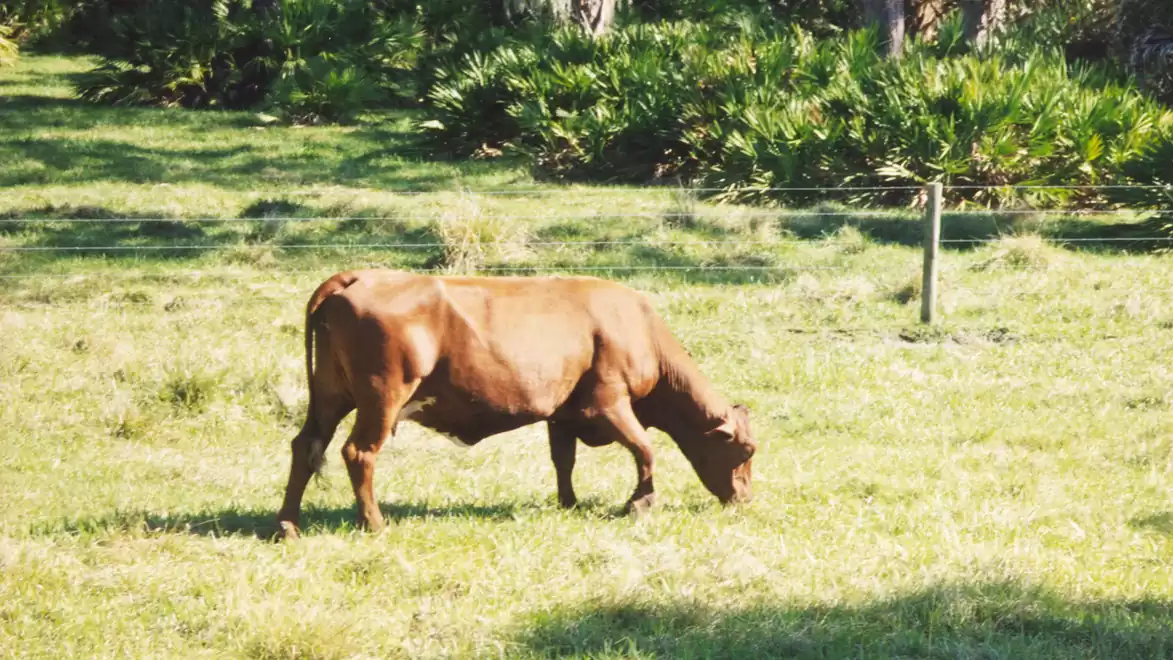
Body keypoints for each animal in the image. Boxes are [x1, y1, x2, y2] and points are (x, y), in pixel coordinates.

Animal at [276, 269, 758, 539]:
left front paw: (569, 503)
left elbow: (563, 459)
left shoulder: (564, 414)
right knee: (359, 452)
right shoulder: (608, 403)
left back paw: (287, 526)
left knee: (306, 446)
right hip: (383, 396)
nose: (745, 500)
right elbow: (646, 449)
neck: (639, 330)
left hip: (330, 395)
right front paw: (640, 503)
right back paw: (374, 524)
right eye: (745, 451)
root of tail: (358, 275)